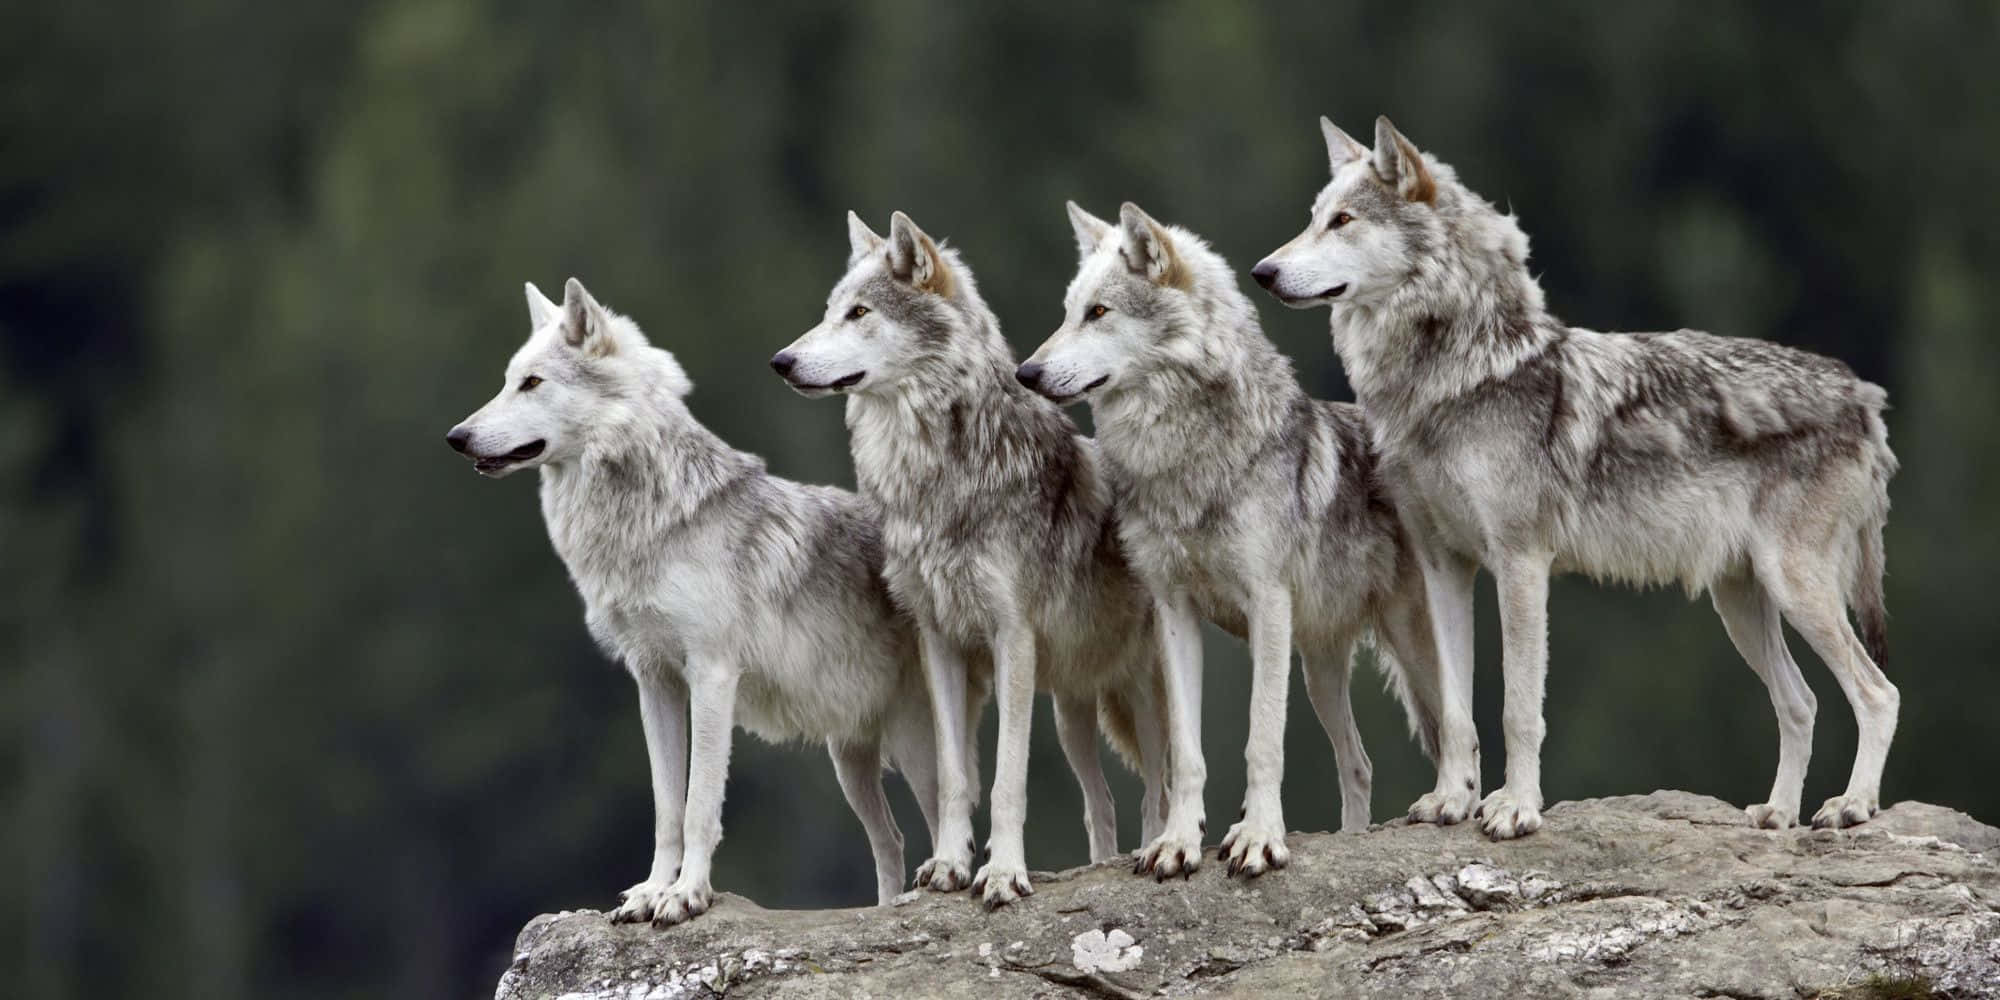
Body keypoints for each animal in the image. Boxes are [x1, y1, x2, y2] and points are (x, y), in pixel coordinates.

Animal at [446, 278, 967, 924]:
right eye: (507, 380)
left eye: (532, 383)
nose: (456, 437)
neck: (647, 523)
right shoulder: (654, 682)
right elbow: (667, 808)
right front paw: (649, 892)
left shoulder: (712, 676)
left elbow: (698, 808)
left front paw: (685, 895)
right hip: (848, 760)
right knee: (890, 840)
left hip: (915, 747)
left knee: (945, 819)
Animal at [772, 211, 1169, 908]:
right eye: (828, 312)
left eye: (859, 312)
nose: (781, 361)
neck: (937, 479)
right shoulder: (940, 640)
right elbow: (957, 777)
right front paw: (950, 866)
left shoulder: (1012, 639)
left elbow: (1008, 780)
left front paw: (1004, 873)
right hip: (1071, 711)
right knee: (1102, 802)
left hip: (1136, 690)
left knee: (1159, 787)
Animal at [1018, 201, 1449, 878]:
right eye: (1069, 311)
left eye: (1099, 312)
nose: (1026, 372)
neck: (1184, 461)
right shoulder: (1174, 614)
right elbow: (1188, 753)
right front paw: (1177, 844)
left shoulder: (1267, 606)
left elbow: (1261, 740)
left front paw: (1259, 838)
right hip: (1319, 669)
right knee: (1357, 763)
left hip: (1407, 643)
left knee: (1462, 729)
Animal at [1254, 116, 1898, 838]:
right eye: (1313, 219)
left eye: (1343, 221)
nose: (1261, 272)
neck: (1453, 379)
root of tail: (1863, 396)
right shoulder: (1444, 566)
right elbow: (1454, 710)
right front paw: (1452, 802)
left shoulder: (1520, 562)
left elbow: (1517, 708)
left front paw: (1515, 809)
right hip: (1741, 602)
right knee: (1802, 702)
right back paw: (1778, 814)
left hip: (1795, 589)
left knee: (1878, 692)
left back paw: (1851, 807)